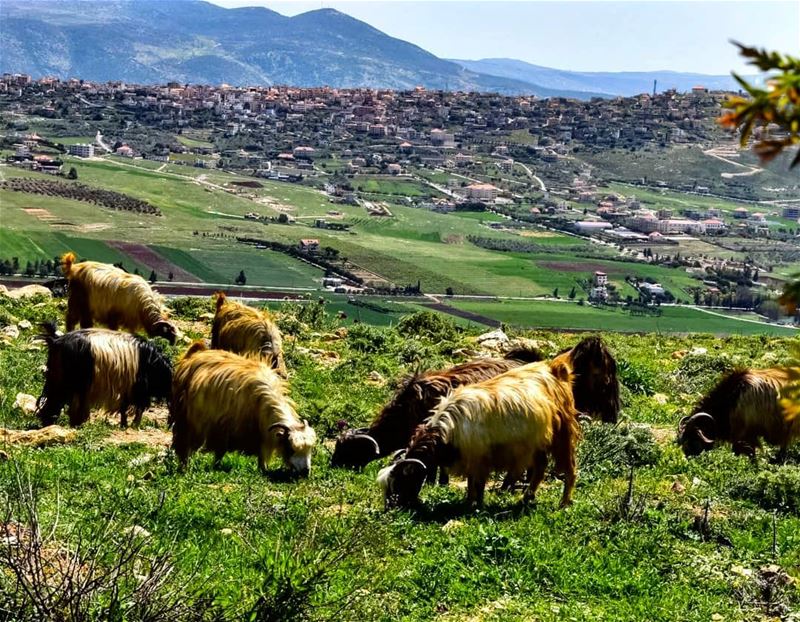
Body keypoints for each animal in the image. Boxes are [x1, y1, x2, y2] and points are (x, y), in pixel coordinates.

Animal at [35, 322, 172, 428]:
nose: (170, 424)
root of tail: (55, 341)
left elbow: (126, 408)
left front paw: (125, 425)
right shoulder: (137, 387)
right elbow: (136, 408)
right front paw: (132, 425)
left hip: (58, 377)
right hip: (73, 380)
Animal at [170, 346, 318, 478]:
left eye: (310, 449)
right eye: (291, 448)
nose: (306, 472)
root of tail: (194, 356)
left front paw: (263, 469)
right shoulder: (225, 428)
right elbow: (221, 451)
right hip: (187, 421)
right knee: (185, 446)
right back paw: (184, 468)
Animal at [378, 360, 580, 512]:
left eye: (399, 483)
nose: (391, 509)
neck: (448, 429)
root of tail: (554, 370)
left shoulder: (480, 457)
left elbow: (479, 484)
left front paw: (477, 506)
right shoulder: (470, 458)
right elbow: (470, 483)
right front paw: (469, 502)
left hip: (562, 435)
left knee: (570, 469)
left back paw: (563, 503)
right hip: (536, 443)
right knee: (540, 468)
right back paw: (526, 498)